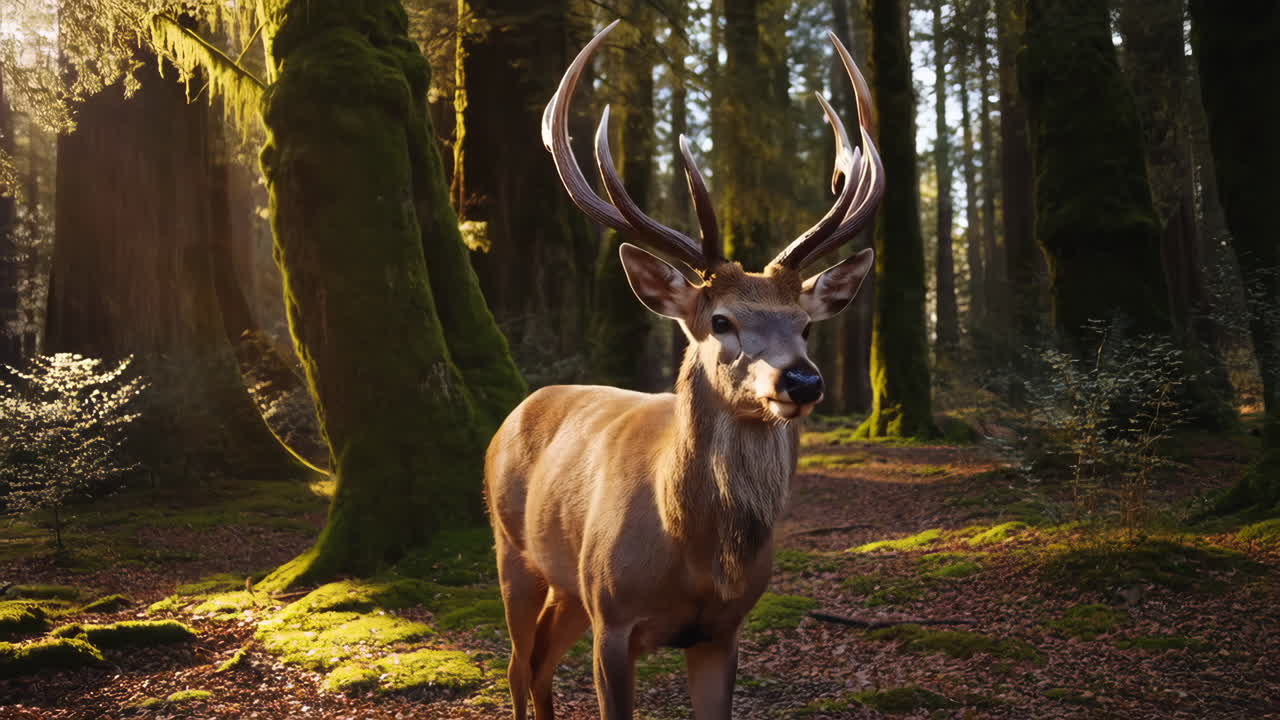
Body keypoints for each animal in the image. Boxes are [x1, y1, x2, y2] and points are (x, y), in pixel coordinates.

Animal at [485, 20, 884, 720]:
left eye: (806, 325)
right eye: (720, 320)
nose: (803, 380)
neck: (693, 557)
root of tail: (513, 414)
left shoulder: (722, 631)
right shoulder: (613, 618)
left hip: (567, 585)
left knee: (538, 665)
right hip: (513, 552)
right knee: (514, 665)